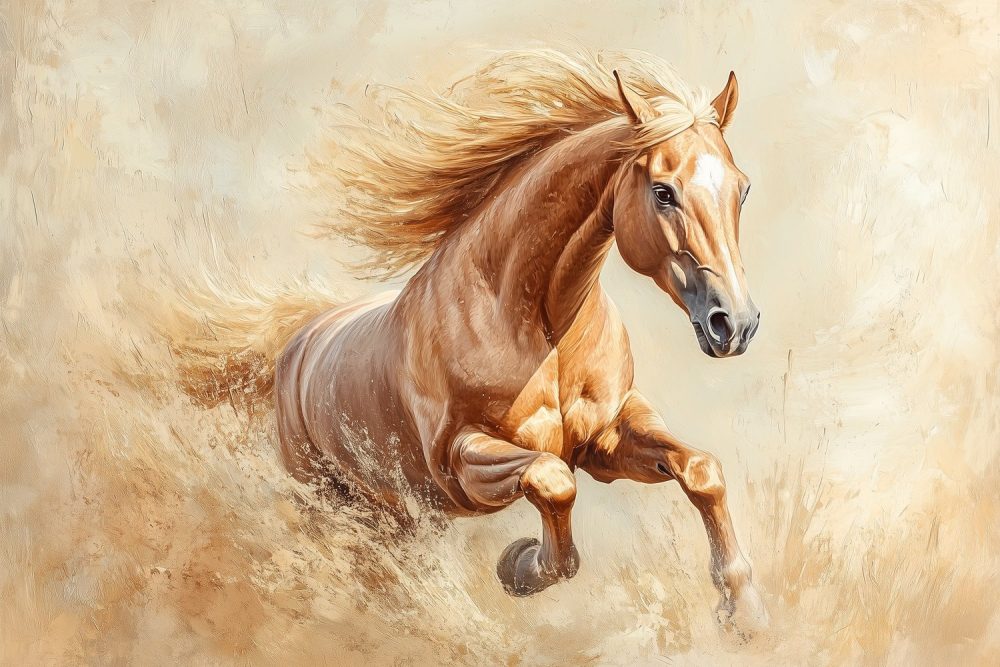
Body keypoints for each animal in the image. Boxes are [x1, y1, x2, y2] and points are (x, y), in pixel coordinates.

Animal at [180, 49, 767, 632]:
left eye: (743, 189)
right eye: (663, 192)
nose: (734, 324)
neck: (540, 328)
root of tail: (299, 341)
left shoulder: (607, 437)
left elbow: (702, 470)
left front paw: (743, 609)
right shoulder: (460, 461)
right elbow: (553, 480)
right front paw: (521, 566)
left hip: (400, 513)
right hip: (330, 502)